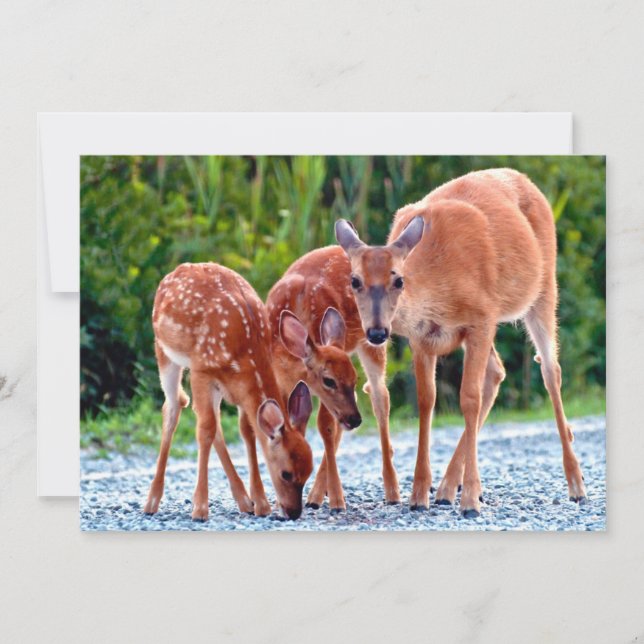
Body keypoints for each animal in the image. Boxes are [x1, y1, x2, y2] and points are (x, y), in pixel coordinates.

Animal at [143, 262, 314, 521]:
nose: (294, 512)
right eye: (286, 473)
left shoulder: (240, 389)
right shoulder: (201, 369)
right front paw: (200, 508)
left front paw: (261, 503)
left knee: (211, 420)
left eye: (309, 472)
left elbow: (247, 431)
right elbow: (205, 431)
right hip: (164, 351)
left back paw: (244, 500)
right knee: (175, 406)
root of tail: (176, 271)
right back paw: (151, 501)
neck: (247, 350)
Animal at [266, 248, 400, 511]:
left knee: (380, 397)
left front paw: (338, 500)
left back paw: (392, 491)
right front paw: (280, 500)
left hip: (374, 339)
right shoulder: (281, 379)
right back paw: (318, 494)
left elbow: (325, 427)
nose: (356, 420)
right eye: (329, 380)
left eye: (353, 377)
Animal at [335, 168, 587, 518]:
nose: (376, 332)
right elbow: (427, 401)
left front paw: (469, 501)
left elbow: (469, 398)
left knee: (551, 371)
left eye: (398, 280)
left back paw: (576, 486)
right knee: (497, 372)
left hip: (544, 287)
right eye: (354, 280)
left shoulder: (481, 318)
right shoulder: (421, 339)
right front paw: (419, 495)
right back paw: (444, 489)